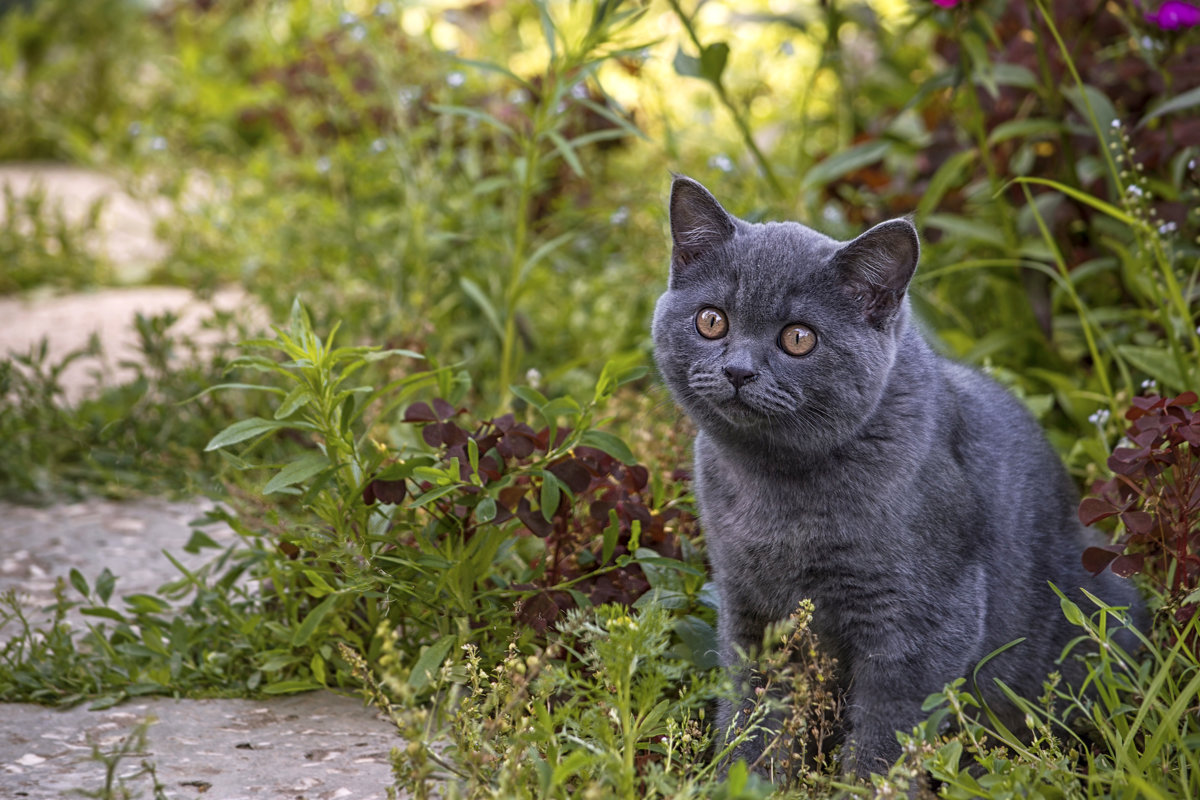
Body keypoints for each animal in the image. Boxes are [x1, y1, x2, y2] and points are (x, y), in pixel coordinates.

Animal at [652, 176, 1137, 782]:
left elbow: (886, 732)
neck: (775, 486)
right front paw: (744, 779)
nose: (738, 370)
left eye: (798, 339)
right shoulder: (749, 608)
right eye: (711, 320)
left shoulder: (922, 623)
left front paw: (864, 787)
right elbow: (753, 712)